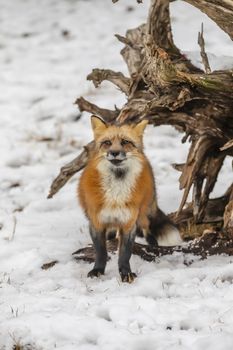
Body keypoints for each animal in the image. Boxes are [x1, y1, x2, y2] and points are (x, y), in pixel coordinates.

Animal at [78, 116, 182, 284]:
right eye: (107, 142)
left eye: (125, 142)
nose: (114, 152)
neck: (116, 194)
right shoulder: (96, 223)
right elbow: (101, 251)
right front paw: (98, 270)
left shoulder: (128, 223)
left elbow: (125, 254)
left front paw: (126, 274)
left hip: (144, 211)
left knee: (146, 227)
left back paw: (152, 244)